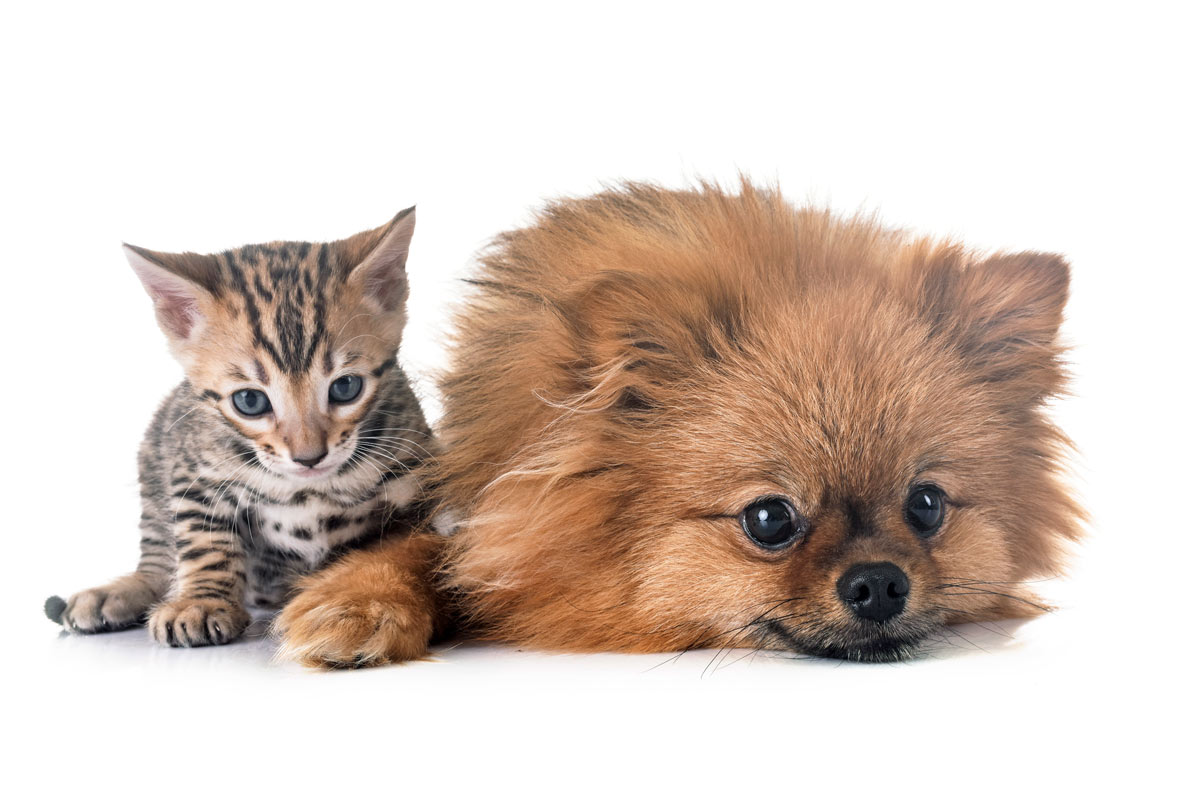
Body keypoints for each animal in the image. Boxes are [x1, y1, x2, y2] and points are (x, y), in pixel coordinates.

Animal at [45, 207, 436, 648]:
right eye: (250, 401)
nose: (309, 457)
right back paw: (119, 592)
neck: (307, 489)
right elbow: (204, 541)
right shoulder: (194, 474)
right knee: (159, 556)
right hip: (154, 450)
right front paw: (201, 602)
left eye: (346, 387)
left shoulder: (417, 476)